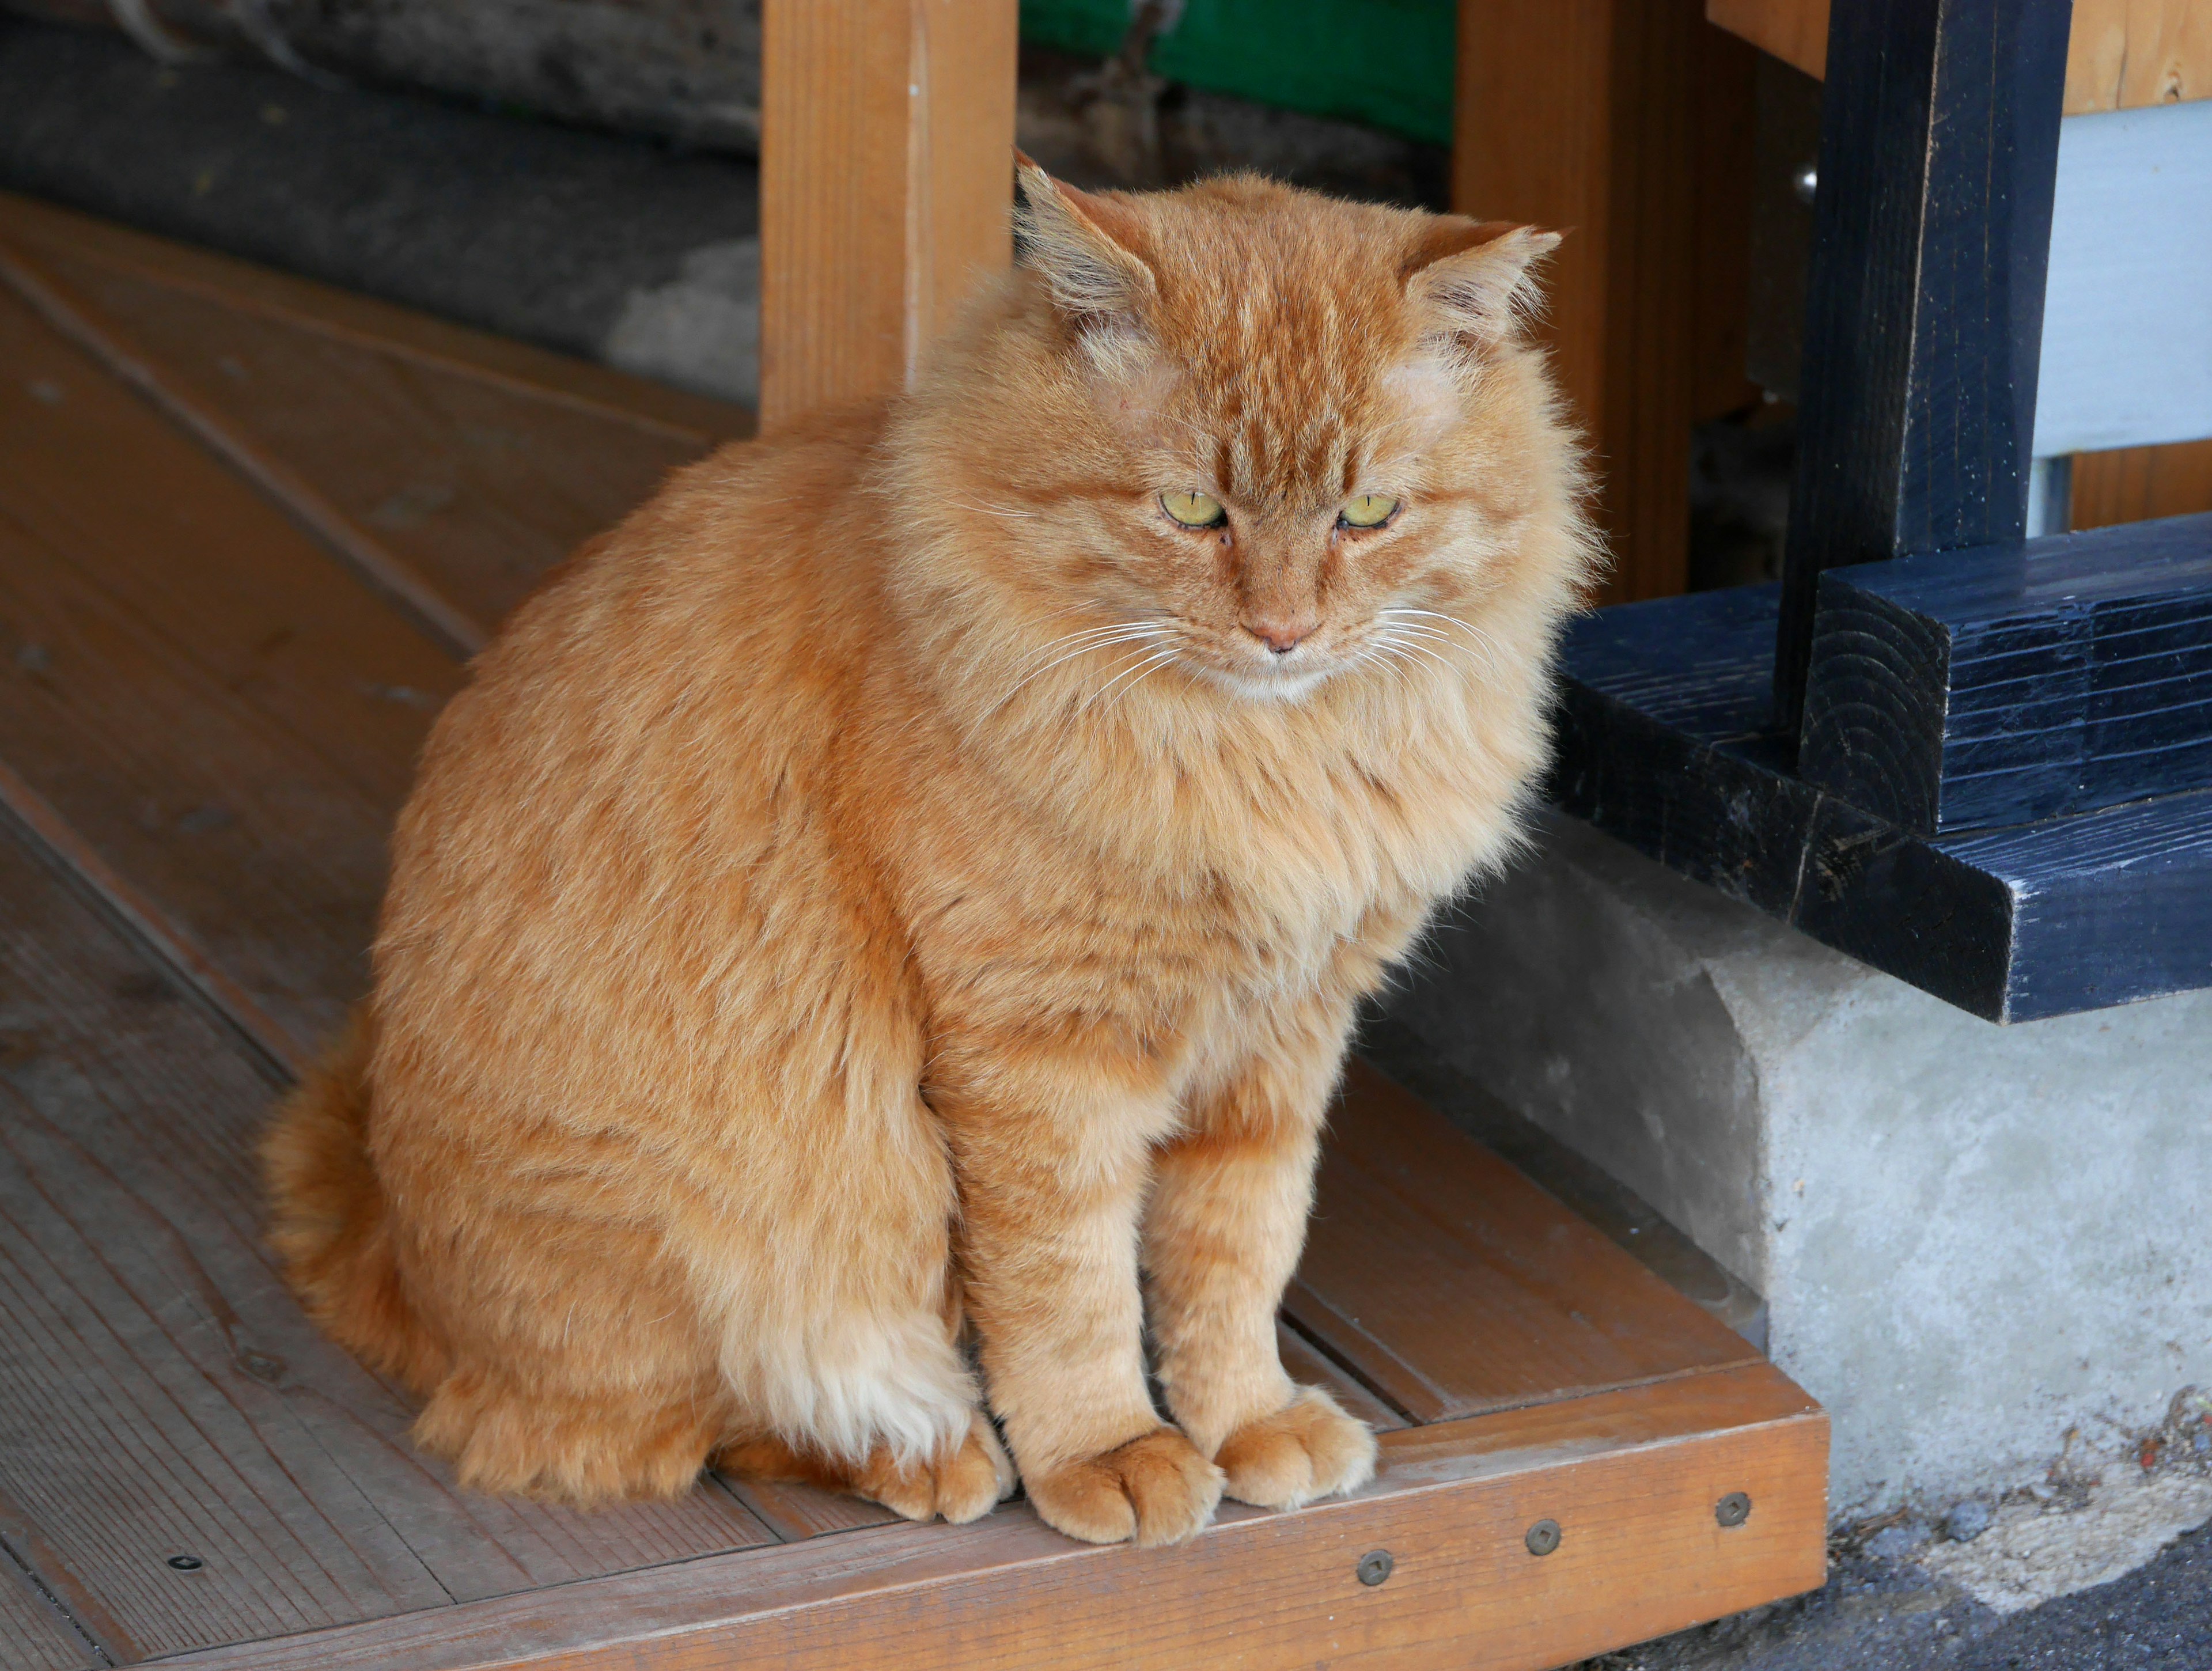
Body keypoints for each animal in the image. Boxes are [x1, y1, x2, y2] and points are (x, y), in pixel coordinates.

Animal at [267, 164, 1601, 1549]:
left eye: (1368, 513)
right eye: (1191, 509)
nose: (1284, 633)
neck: (1264, 761)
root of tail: (387, 1237)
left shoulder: (1281, 1044)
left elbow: (1235, 1255)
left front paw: (1245, 1420)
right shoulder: (1040, 1057)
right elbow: (1068, 1293)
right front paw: (1111, 1449)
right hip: (770, 1217)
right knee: (708, 1422)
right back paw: (935, 1452)